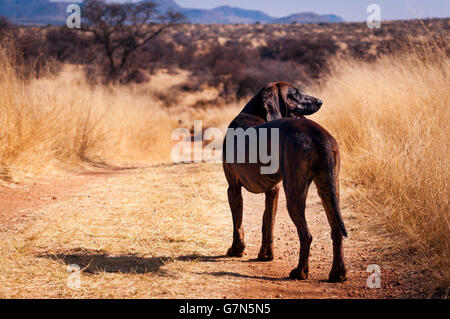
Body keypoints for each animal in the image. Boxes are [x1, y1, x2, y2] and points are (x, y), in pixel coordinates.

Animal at [223, 82, 346, 282]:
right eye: (294, 94)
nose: (320, 101)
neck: (254, 113)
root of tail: (317, 134)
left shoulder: (233, 188)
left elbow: (238, 224)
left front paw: (236, 250)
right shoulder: (273, 190)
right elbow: (267, 223)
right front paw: (266, 255)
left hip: (295, 194)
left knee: (306, 235)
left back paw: (300, 272)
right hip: (329, 189)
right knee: (336, 231)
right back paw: (338, 273)